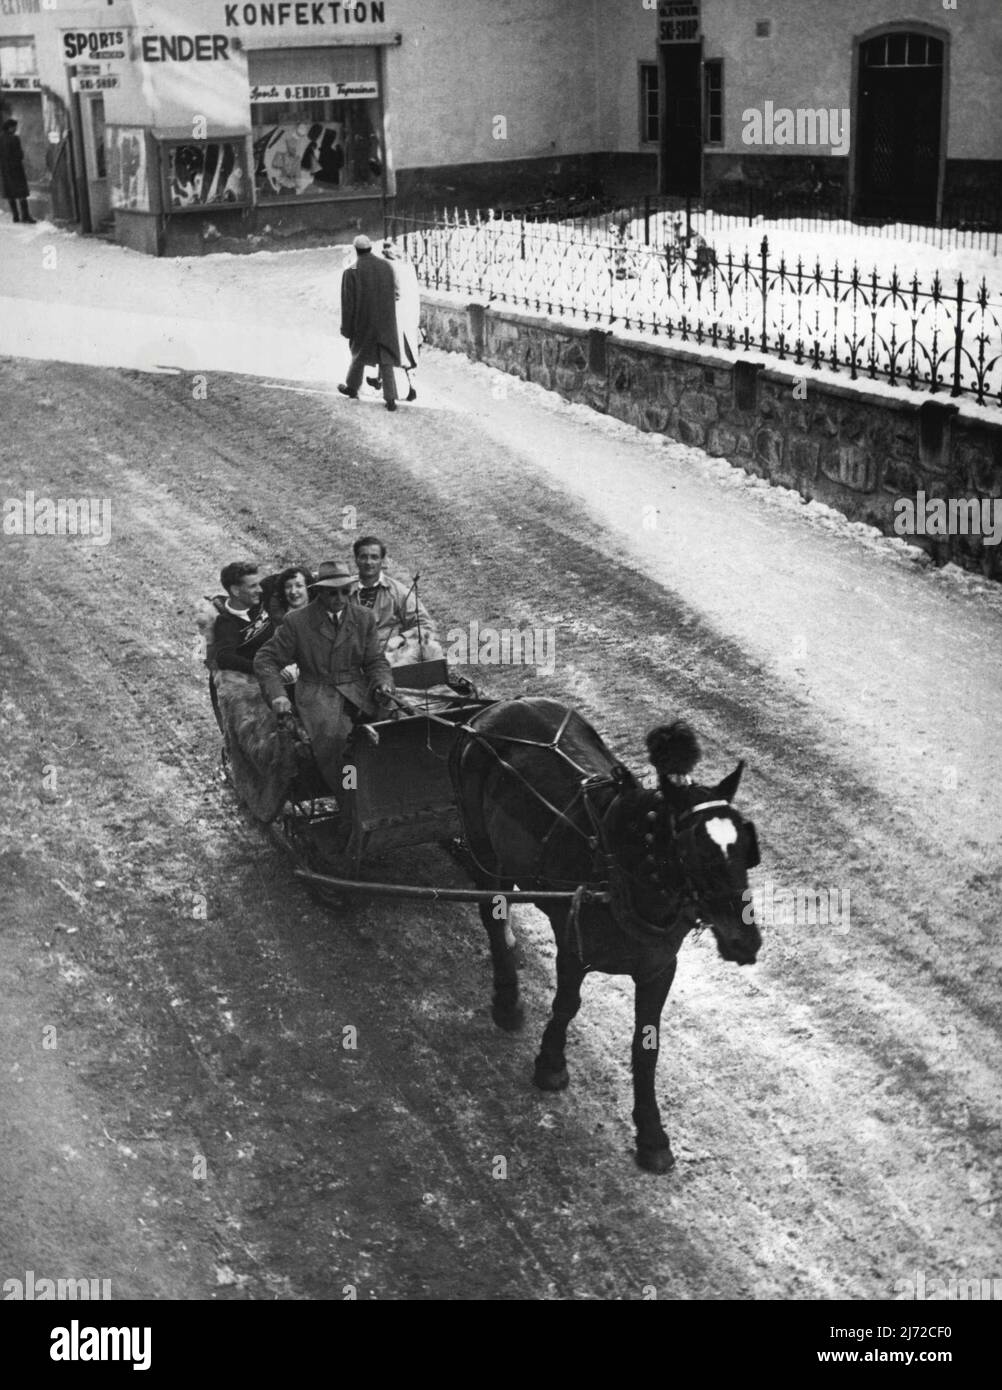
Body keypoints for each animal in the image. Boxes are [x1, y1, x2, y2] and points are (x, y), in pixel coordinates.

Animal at [450, 695, 761, 1173]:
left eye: (747, 848)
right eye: (697, 851)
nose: (746, 940)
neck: (624, 875)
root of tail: (497, 706)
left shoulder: (659, 967)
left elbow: (646, 1044)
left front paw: (651, 1133)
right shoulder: (573, 941)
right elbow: (566, 1005)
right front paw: (550, 1063)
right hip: (485, 844)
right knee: (492, 910)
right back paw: (506, 995)